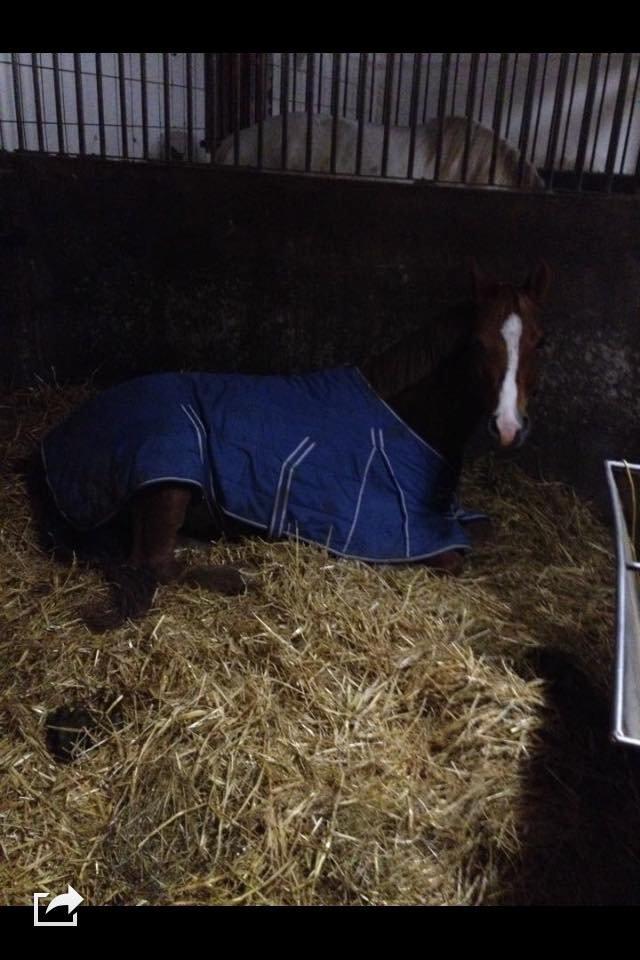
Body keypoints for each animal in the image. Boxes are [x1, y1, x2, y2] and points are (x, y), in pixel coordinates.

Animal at [29, 261, 551, 632]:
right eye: (478, 344)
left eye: (540, 344)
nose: (508, 427)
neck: (403, 414)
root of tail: (54, 446)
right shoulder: (401, 535)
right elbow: (456, 558)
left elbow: (484, 531)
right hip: (168, 474)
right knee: (153, 564)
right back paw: (236, 577)